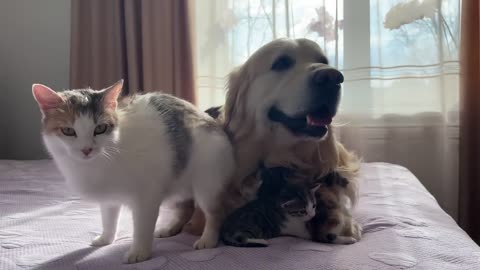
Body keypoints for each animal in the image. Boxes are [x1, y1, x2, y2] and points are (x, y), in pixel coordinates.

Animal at [31, 80, 234, 264]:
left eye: (100, 128)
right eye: (68, 131)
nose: (86, 149)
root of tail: (208, 117)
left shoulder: (147, 197)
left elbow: (142, 228)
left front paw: (140, 252)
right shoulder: (109, 198)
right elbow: (109, 219)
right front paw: (106, 238)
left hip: (206, 183)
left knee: (215, 213)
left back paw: (208, 239)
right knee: (186, 208)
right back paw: (169, 229)